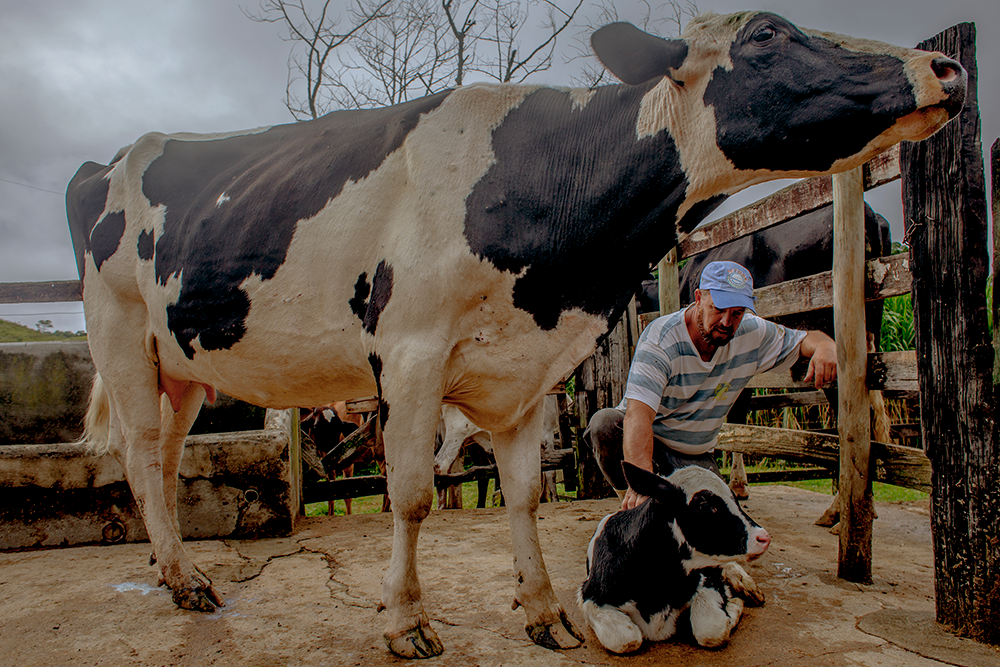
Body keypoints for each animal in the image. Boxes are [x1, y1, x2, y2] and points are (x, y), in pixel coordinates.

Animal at [580, 464, 772, 652]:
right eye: (704, 505)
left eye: (735, 500)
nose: (763, 538)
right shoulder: (591, 596)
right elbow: (626, 639)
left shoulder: (707, 580)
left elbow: (711, 629)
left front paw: (733, 605)